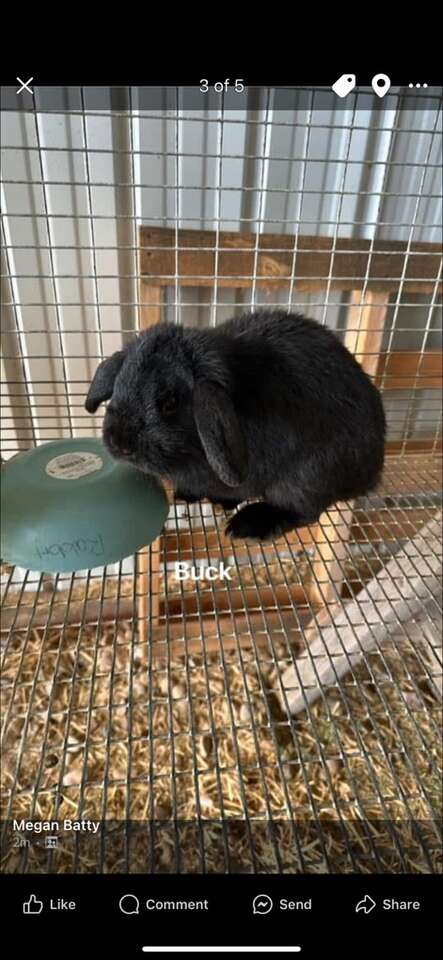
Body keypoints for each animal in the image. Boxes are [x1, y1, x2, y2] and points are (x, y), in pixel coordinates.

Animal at [85, 314, 386, 540]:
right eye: (119, 383)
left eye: (169, 402)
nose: (118, 442)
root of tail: (372, 469)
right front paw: (189, 495)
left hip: (307, 477)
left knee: (303, 511)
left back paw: (248, 525)